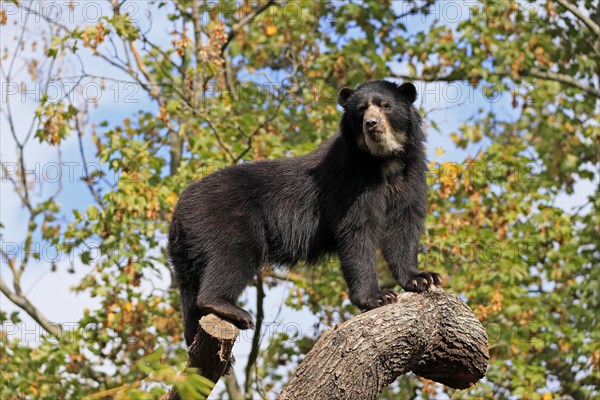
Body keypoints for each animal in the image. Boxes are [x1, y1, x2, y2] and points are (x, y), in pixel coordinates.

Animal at [169, 79, 440, 346]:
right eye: (361, 109)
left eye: (385, 106)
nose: (371, 124)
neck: (382, 161)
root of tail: (180, 208)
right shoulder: (350, 182)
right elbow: (356, 232)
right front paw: (378, 297)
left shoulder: (410, 175)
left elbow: (403, 226)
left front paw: (422, 278)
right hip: (225, 216)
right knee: (235, 253)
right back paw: (229, 308)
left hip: (189, 250)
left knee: (191, 286)